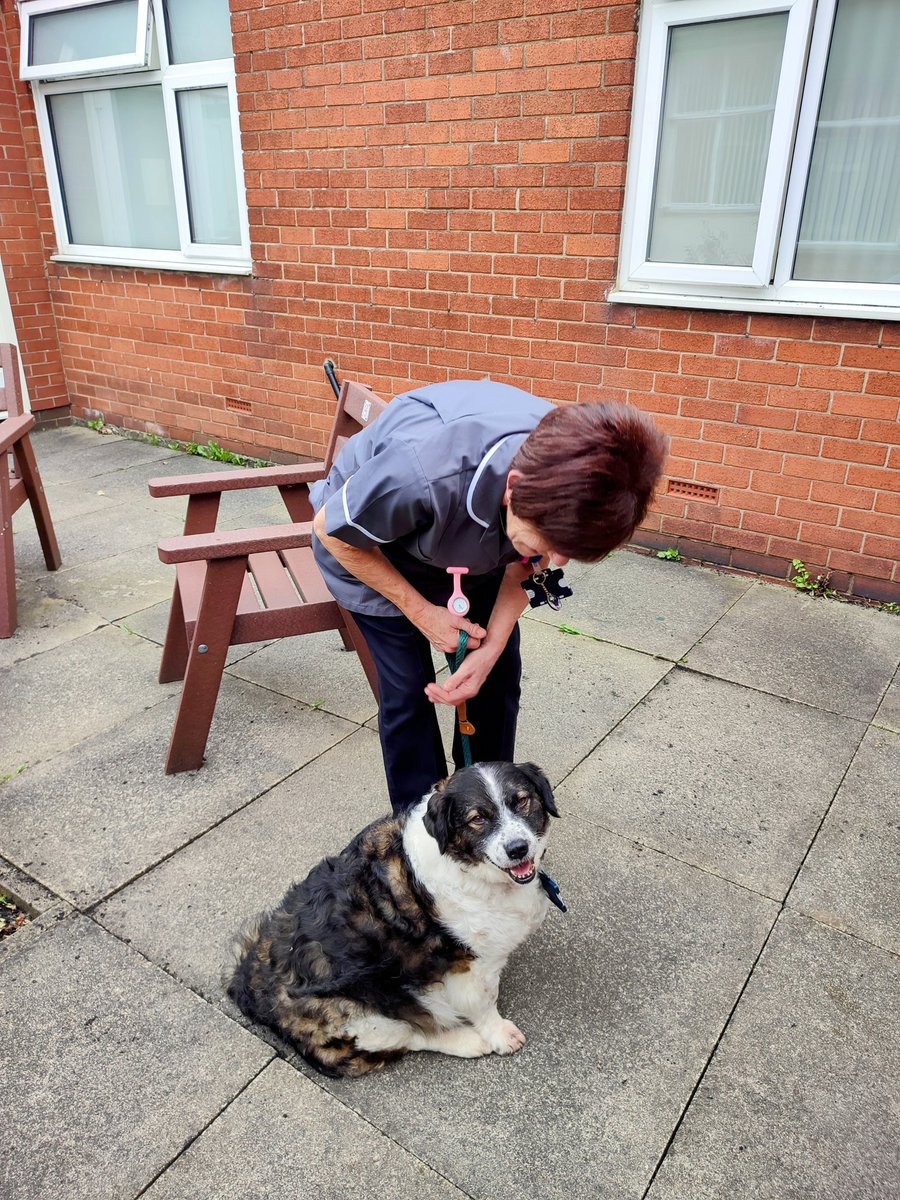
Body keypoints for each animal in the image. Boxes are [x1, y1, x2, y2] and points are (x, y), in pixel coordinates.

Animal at [229, 758, 561, 1080]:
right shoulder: (469, 966)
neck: (463, 864)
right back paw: (467, 1040)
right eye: (477, 819)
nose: (518, 849)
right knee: (415, 1035)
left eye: (522, 801)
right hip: (362, 1015)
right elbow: (483, 1002)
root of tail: (249, 991)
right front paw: (499, 1034)